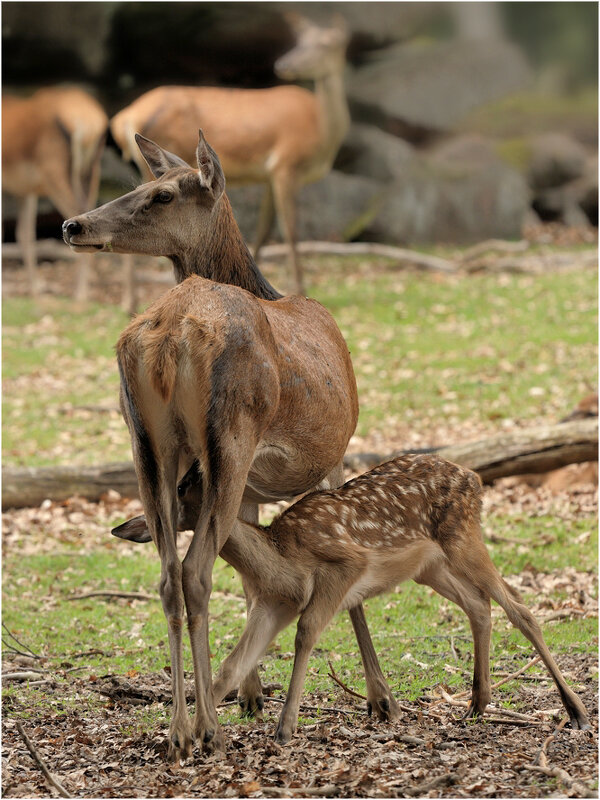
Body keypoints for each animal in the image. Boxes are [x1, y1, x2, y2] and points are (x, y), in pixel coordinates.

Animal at [2, 86, 108, 300]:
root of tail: (89, 123)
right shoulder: (26, 191)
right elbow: (25, 233)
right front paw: (35, 290)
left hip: (56, 177)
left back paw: (80, 294)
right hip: (91, 174)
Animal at [63, 133, 396, 764]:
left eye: (160, 192)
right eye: (141, 185)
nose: (73, 224)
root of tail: (169, 333)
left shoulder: (249, 485)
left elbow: (249, 571)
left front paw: (252, 694)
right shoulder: (334, 453)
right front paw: (379, 697)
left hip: (147, 444)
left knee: (168, 574)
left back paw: (177, 730)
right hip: (232, 433)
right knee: (194, 571)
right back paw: (205, 730)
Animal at [110, 13, 350, 296]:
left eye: (326, 44)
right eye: (299, 40)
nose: (284, 64)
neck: (322, 134)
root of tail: (124, 118)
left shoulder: (269, 175)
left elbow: (263, 230)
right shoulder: (286, 164)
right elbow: (291, 231)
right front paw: (300, 288)